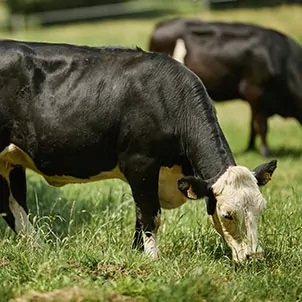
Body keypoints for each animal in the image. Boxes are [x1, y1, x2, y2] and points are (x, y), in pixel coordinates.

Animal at [0, 40, 278, 262]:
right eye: (227, 214)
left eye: (261, 208)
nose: (254, 257)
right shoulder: (140, 163)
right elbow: (150, 214)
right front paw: (153, 258)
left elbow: (139, 215)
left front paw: (137, 252)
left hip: (11, 162)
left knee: (14, 205)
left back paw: (37, 249)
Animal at [149, 18, 302, 157]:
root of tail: (161, 24)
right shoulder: (255, 91)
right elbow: (262, 125)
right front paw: (265, 152)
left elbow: (252, 124)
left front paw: (250, 148)